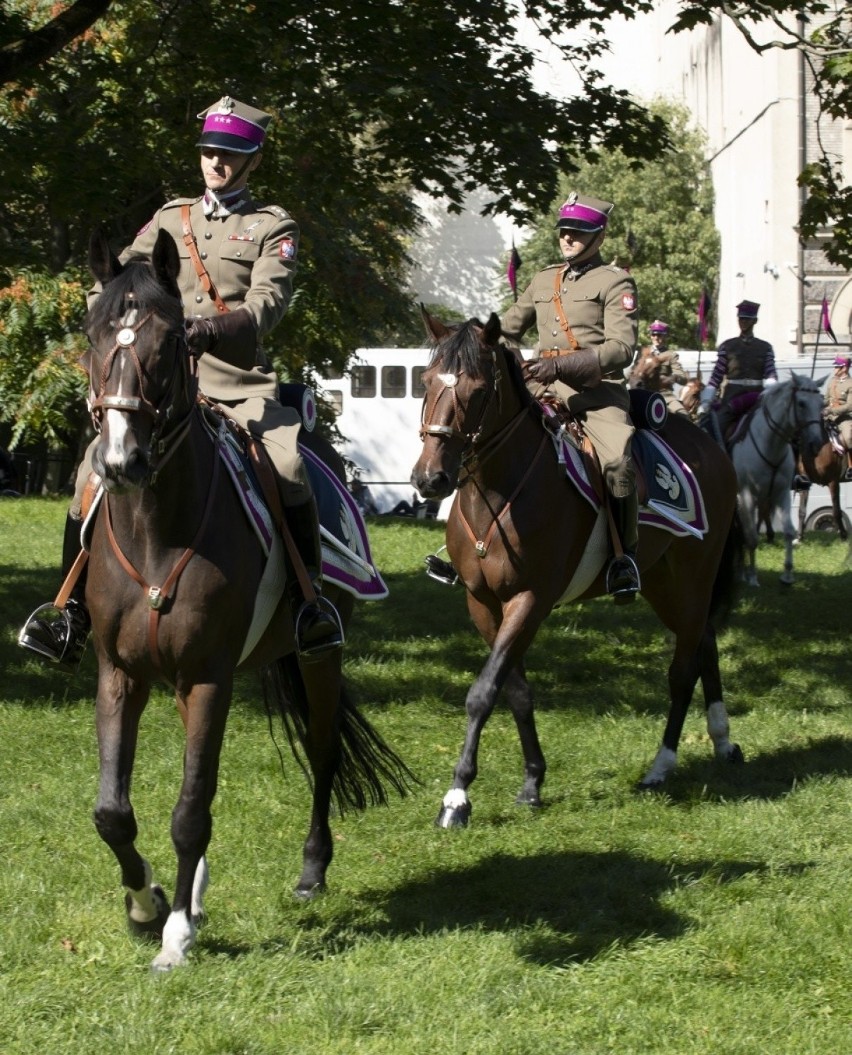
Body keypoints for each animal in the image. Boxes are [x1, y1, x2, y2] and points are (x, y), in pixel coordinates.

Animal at [80, 233, 413, 970]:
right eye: (92, 337)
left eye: (170, 342)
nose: (119, 463)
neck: (157, 530)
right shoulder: (121, 674)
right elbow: (114, 810)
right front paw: (147, 902)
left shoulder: (208, 677)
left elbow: (190, 808)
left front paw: (175, 934)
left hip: (317, 655)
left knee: (321, 749)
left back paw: (311, 870)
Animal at [413, 308, 746, 822]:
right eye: (427, 381)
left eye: (478, 390)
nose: (430, 479)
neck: (501, 494)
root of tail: (711, 447)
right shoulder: (483, 604)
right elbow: (515, 690)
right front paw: (532, 782)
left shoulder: (530, 600)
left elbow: (483, 692)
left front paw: (457, 797)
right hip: (665, 584)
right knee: (704, 644)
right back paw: (723, 740)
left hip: (693, 577)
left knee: (683, 668)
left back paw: (662, 765)